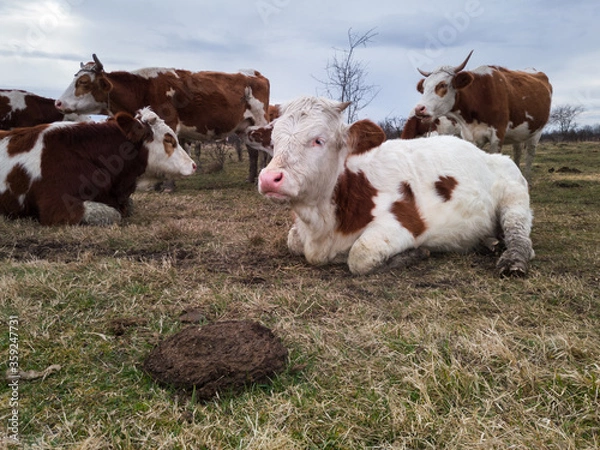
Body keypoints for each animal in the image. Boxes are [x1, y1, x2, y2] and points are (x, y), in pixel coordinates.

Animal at [258, 96, 536, 276]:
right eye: (273, 141)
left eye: (318, 140)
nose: (269, 178)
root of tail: (484, 154)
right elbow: (292, 240)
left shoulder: (404, 222)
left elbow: (360, 256)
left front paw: (415, 254)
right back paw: (489, 242)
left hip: (515, 194)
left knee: (519, 234)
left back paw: (513, 259)